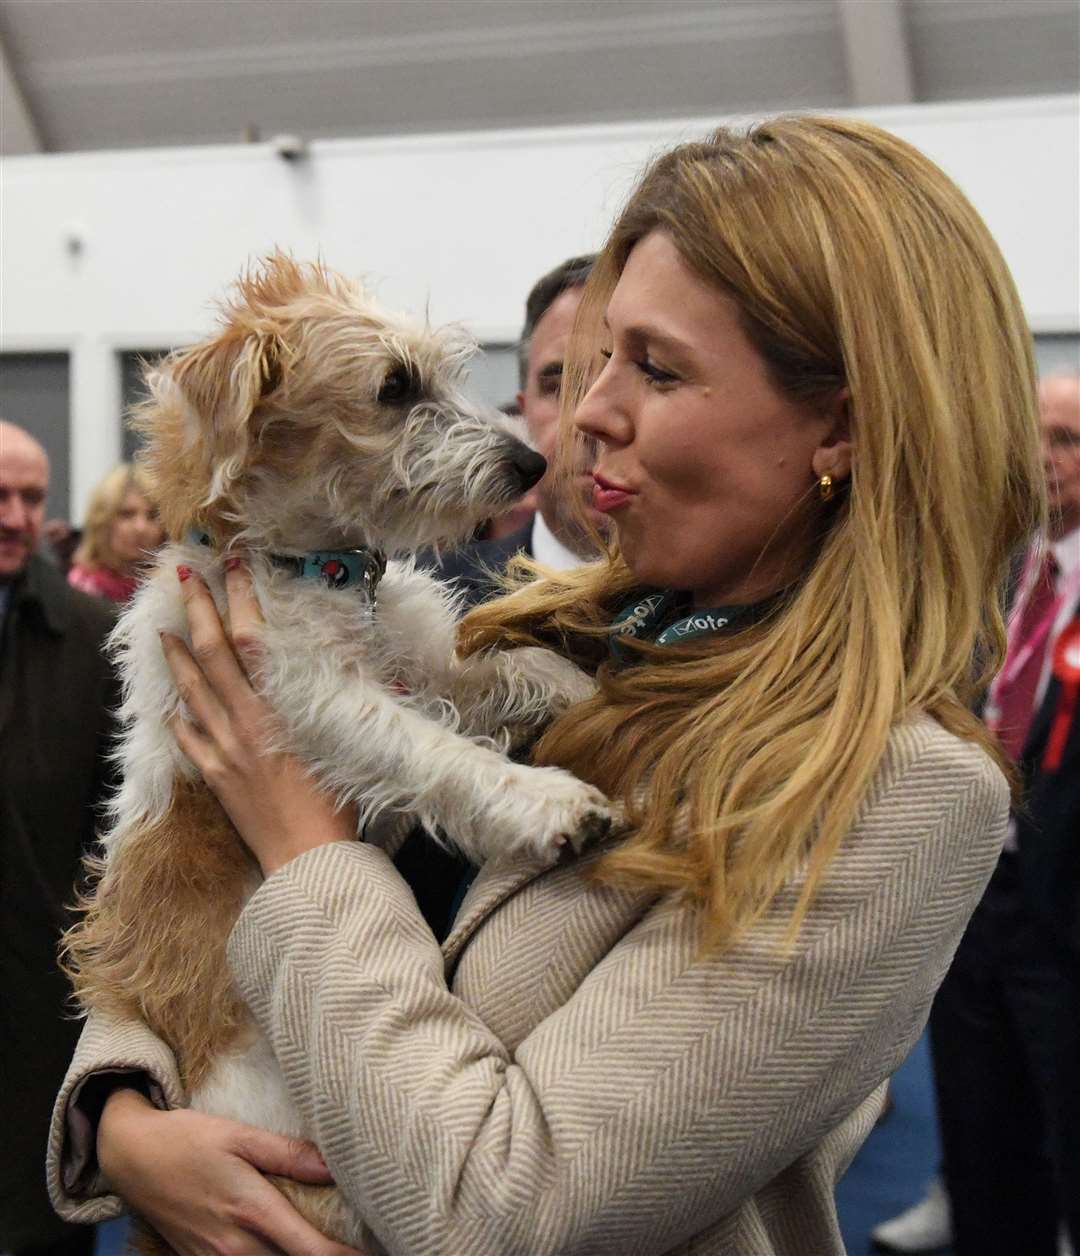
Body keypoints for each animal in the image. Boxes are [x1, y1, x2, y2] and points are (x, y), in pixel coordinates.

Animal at [65, 252, 607, 1245]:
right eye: (394, 387)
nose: (532, 462)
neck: (321, 570)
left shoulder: (428, 657)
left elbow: (530, 667)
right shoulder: (316, 699)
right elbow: (436, 751)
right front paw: (547, 801)